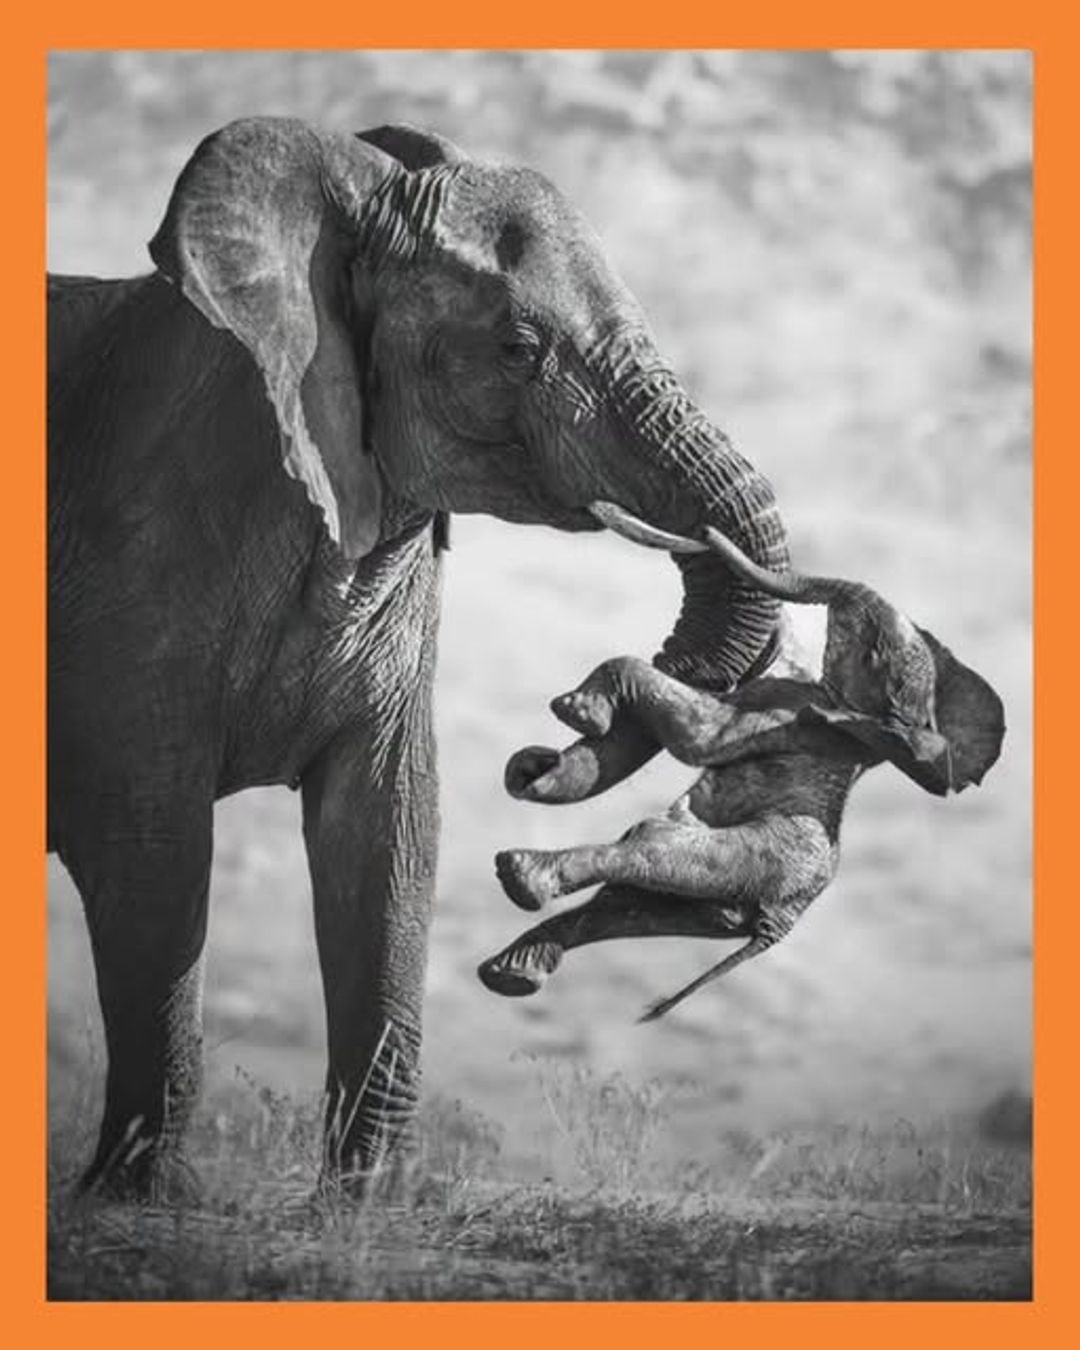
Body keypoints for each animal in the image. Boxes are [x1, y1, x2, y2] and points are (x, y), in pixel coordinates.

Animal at [48, 118, 791, 1198]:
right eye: (519, 350)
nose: (546, 745)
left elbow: (390, 834)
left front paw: (371, 1204)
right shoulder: (131, 572)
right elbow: (154, 851)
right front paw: (142, 1202)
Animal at [479, 516, 1005, 1020]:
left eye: (871, 652)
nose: (705, 531)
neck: (901, 726)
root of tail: (778, 925)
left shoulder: (787, 713)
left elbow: (697, 736)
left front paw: (576, 713)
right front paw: (531, 766)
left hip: (752, 860)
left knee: (649, 847)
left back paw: (521, 878)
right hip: (721, 903)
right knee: (624, 907)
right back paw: (510, 972)